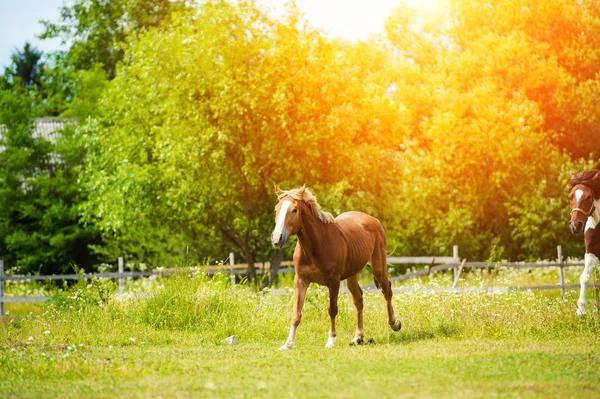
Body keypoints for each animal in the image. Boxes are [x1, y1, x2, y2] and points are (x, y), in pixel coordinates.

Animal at [272, 185, 404, 350]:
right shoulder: (301, 280)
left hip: (378, 268)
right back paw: (357, 337)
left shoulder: (333, 281)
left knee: (387, 291)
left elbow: (332, 310)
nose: (277, 239)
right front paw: (288, 344)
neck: (316, 245)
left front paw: (331, 340)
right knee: (358, 299)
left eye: (294, 210)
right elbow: (296, 312)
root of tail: (374, 220)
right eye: (276, 209)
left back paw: (395, 324)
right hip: (351, 275)